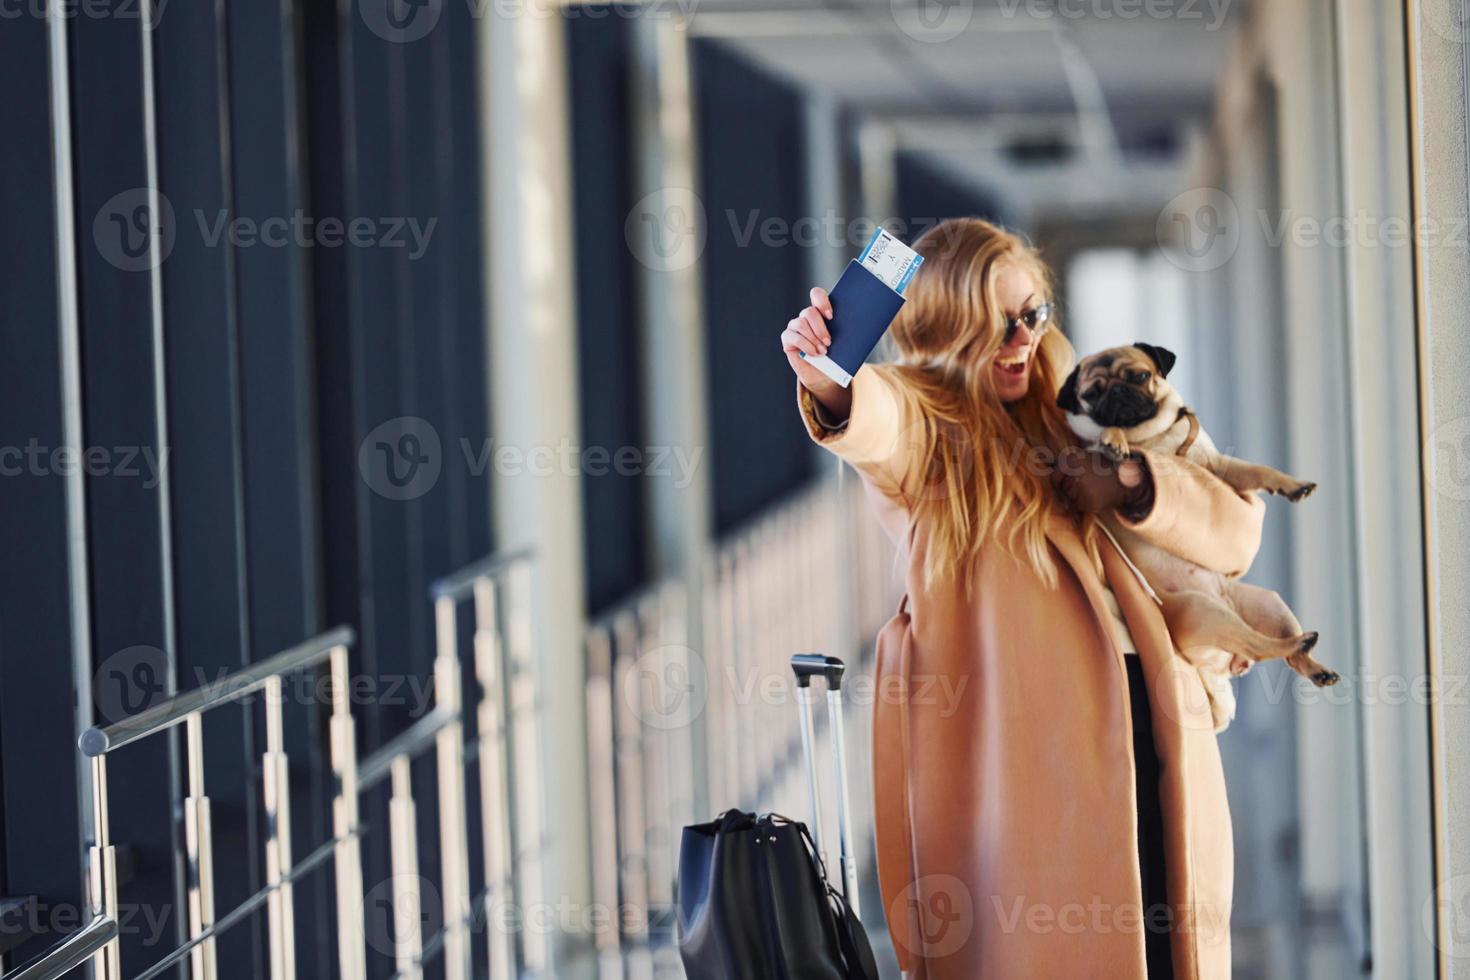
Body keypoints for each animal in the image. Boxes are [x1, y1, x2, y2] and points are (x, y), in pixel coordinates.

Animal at [1058, 343, 1346, 719]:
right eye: (1092, 394)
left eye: (1140, 376)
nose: (1118, 393)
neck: (1153, 436)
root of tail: (1224, 661)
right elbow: (1111, 443)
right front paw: (1113, 438)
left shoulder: (1217, 467)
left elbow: (1257, 470)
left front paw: (1292, 485)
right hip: (1205, 612)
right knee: (1261, 646)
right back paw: (1297, 642)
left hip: (1271, 605)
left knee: (1288, 656)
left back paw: (1315, 665)